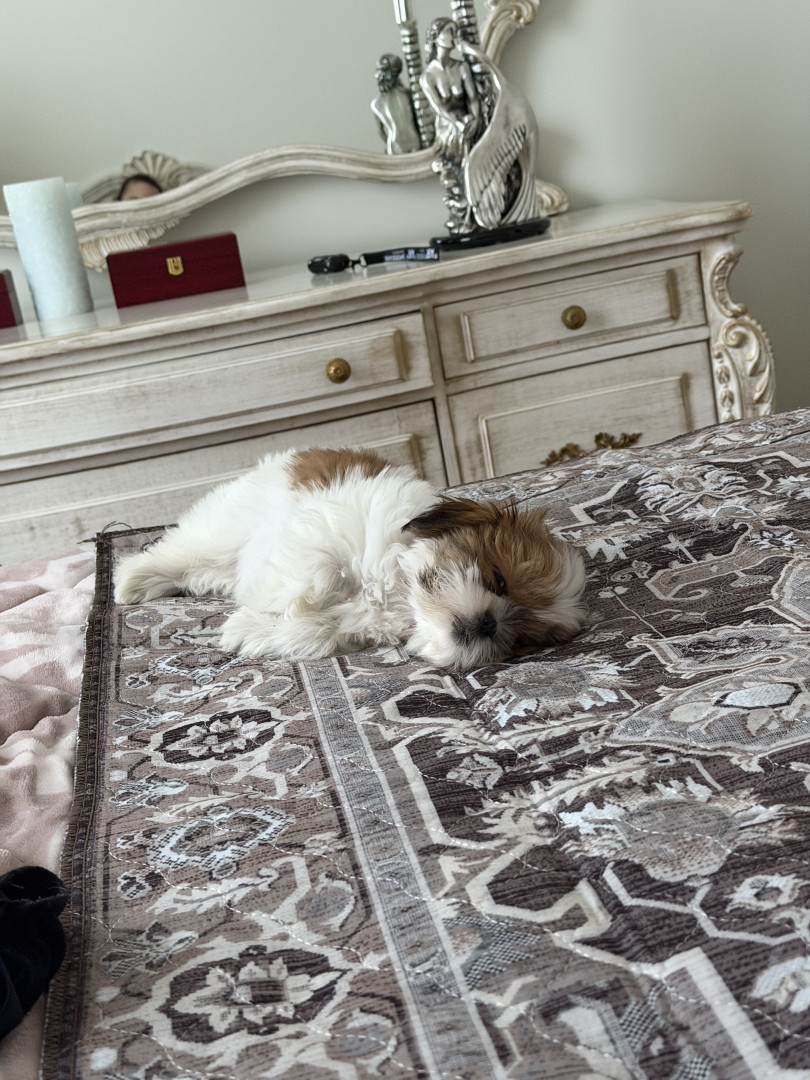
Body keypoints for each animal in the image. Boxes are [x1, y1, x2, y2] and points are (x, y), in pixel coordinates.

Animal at [113, 447, 587, 669]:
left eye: (521, 638)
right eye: (498, 578)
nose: (489, 623)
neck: (399, 593)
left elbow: (318, 633)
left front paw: (253, 628)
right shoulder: (328, 528)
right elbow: (317, 570)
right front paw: (282, 603)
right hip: (227, 527)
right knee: (182, 549)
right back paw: (130, 579)